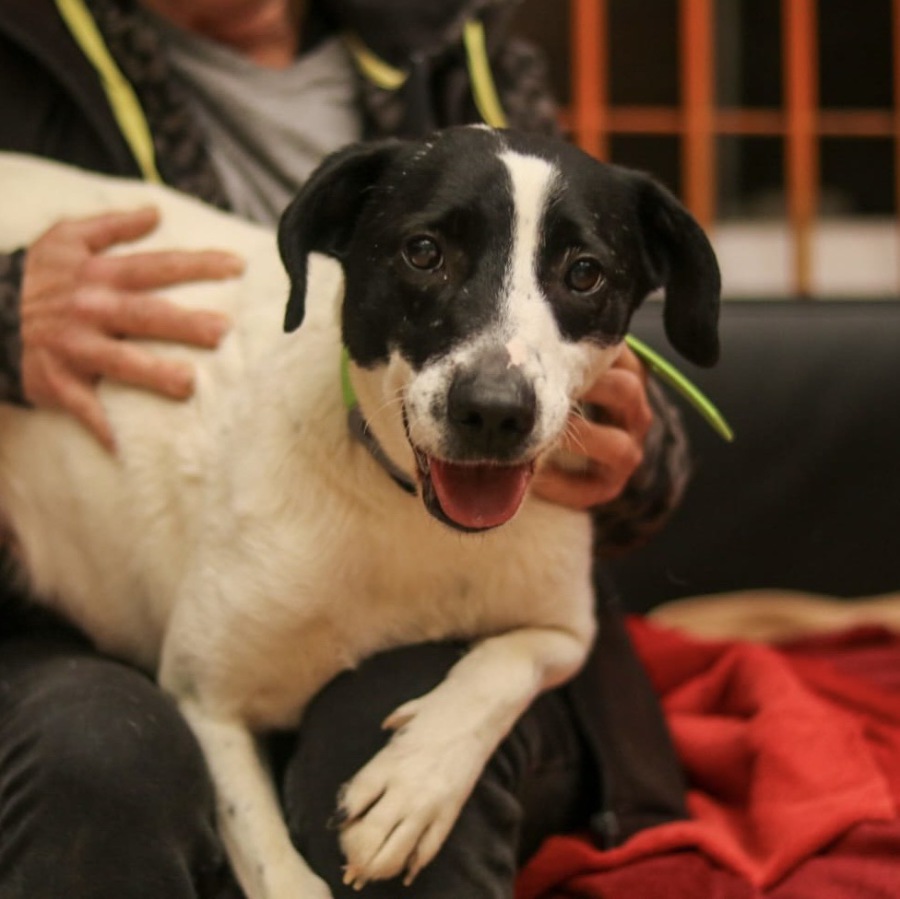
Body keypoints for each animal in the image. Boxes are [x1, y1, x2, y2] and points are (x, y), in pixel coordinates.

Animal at [0, 126, 720, 899]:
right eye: (424, 252)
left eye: (584, 272)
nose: (494, 411)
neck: (409, 516)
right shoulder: (204, 696)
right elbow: (276, 867)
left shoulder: (564, 627)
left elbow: (509, 662)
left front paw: (414, 781)